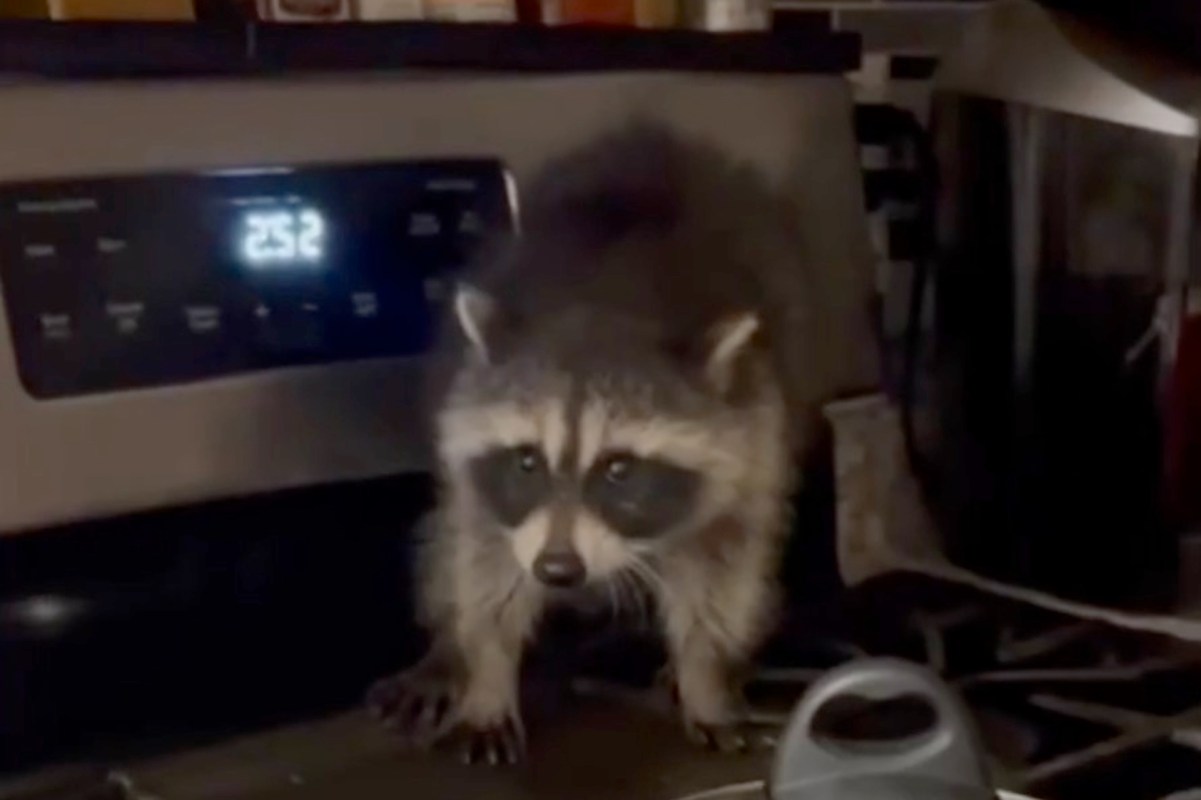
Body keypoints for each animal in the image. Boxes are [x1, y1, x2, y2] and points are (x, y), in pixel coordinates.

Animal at [368, 124, 841, 764]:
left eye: (619, 469)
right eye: (527, 460)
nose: (558, 569)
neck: (608, 302)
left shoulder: (754, 436)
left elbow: (723, 567)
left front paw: (706, 674)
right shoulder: (476, 464)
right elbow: (482, 564)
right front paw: (485, 674)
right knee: (443, 541)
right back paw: (445, 657)